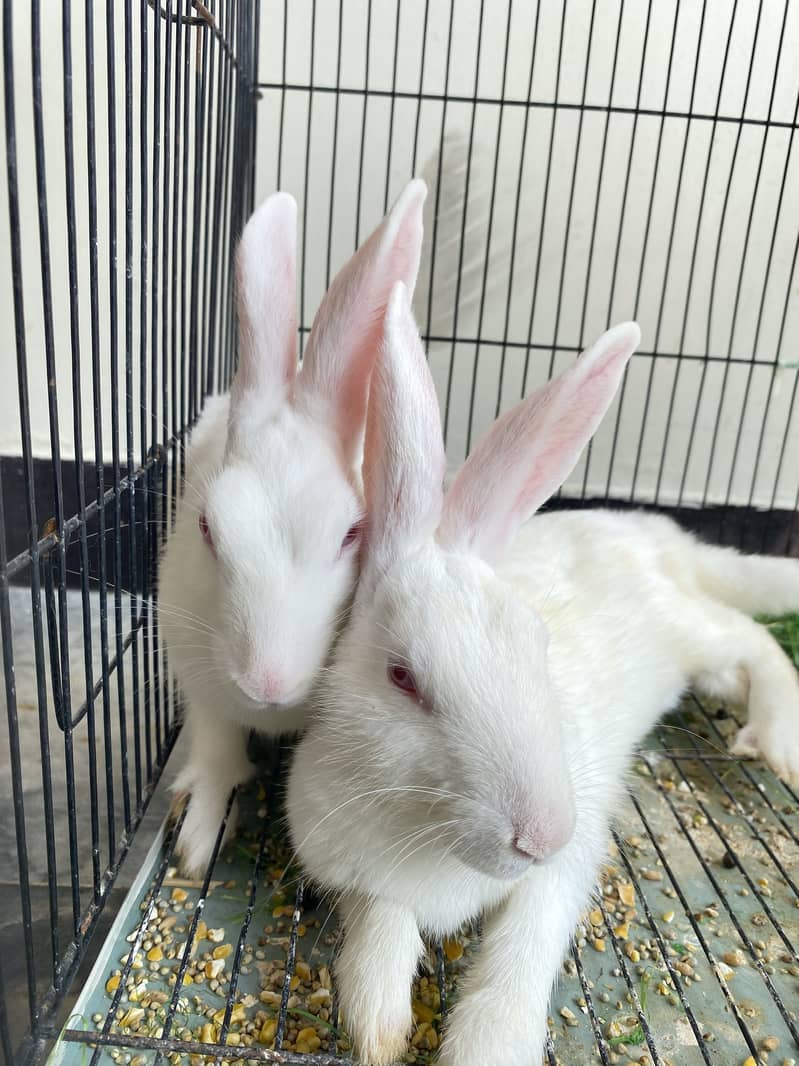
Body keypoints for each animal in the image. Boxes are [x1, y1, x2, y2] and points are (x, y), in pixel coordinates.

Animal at [158, 180, 427, 877]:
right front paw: (197, 843)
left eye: (351, 535)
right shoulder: (201, 681)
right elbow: (218, 752)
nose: (266, 683)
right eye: (208, 528)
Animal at [287, 282, 799, 1066]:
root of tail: (657, 532)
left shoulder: (563, 875)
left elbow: (523, 947)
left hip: (685, 630)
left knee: (752, 638)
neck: (432, 839)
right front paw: (378, 1026)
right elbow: (382, 927)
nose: (542, 835)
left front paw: (484, 1046)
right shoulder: (355, 873)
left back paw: (773, 738)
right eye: (402, 678)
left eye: (536, 644)